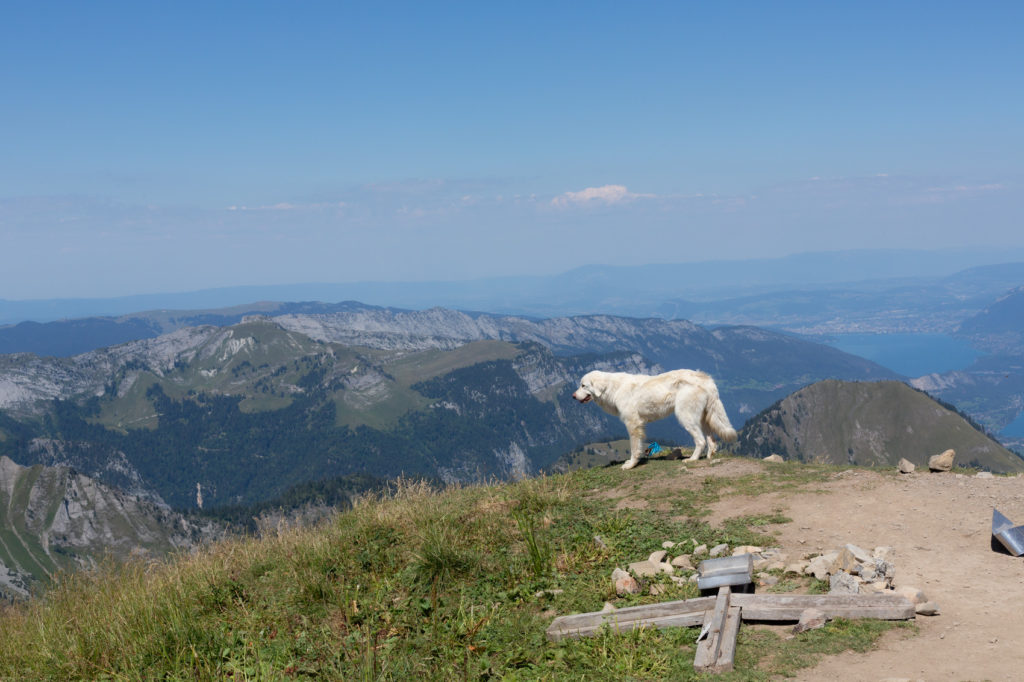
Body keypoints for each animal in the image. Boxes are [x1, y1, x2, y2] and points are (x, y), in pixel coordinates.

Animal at [577, 366, 737, 466]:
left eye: (583, 385)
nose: (573, 396)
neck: (613, 388)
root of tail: (707, 379)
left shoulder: (633, 424)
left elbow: (634, 448)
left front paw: (631, 464)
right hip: (704, 418)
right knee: (712, 440)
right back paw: (710, 457)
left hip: (686, 417)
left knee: (701, 441)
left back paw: (692, 459)